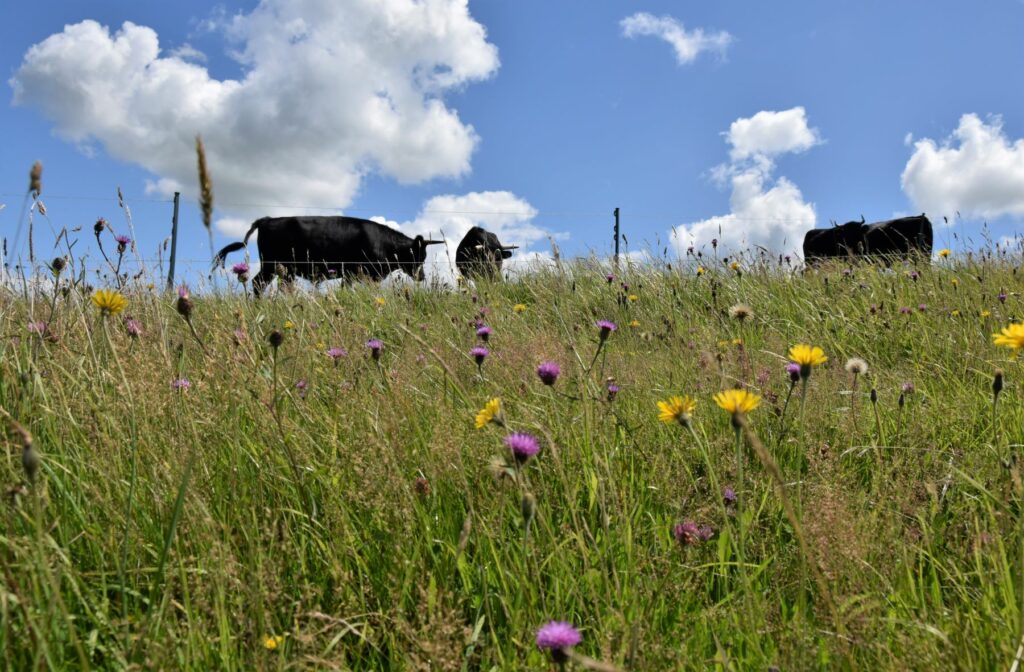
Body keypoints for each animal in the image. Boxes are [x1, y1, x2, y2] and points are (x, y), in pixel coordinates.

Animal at [214, 215, 442, 295]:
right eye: (418, 256)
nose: (422, 277)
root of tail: (267, 219)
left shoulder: (351, 275)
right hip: (272, 265)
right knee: (258, 284)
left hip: (281, 270)